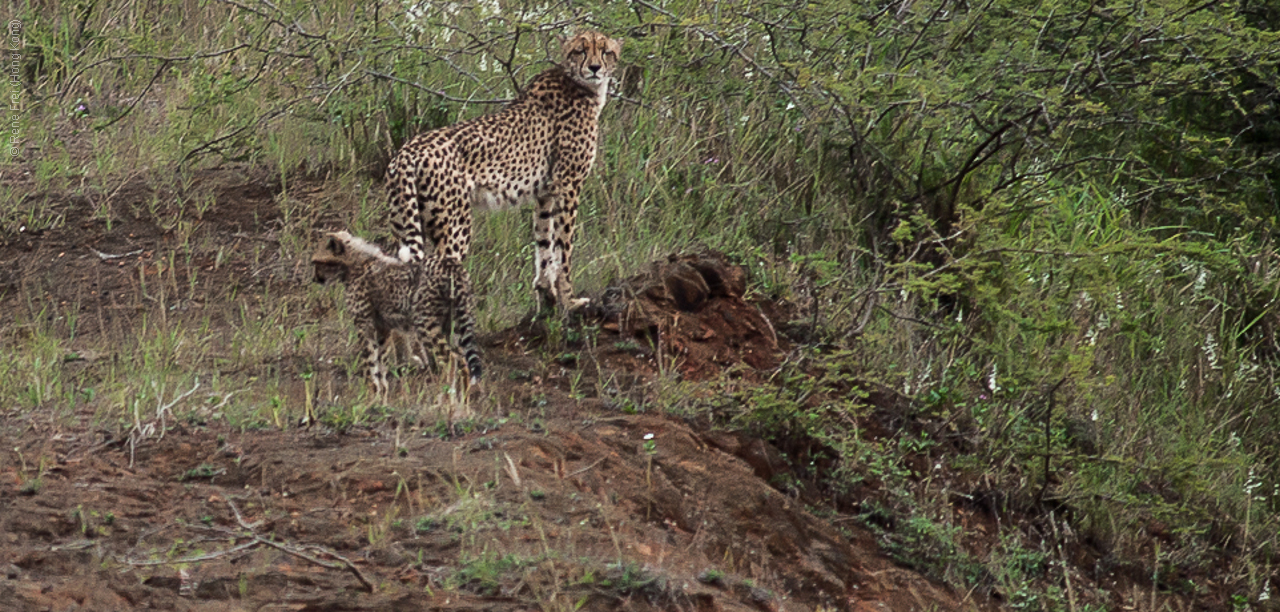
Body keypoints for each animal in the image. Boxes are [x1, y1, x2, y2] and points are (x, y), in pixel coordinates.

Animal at [312, 229, 481, 396]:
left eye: (316, 262)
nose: (314, 279)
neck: (355, 262)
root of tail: (451, 264)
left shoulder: (364, 325)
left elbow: (370, 364)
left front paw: (370, 396)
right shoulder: (383, 328)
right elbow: (380, 365)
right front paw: (382, 397)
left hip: (425, 324)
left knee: (451, 359)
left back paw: (443, 399)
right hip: (453, 325)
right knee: (463, 361)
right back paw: (463, 402)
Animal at [386, 29, 622, 311]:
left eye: (605, 51)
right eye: (580, 51)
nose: (595, 68)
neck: (580, 83)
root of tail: (406, 150)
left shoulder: (546, 193)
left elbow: (545, 242)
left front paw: (547, 293)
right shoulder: (568, 185)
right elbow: (564, 247)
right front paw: (569, 299)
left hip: (406, 225)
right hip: (454, 226)